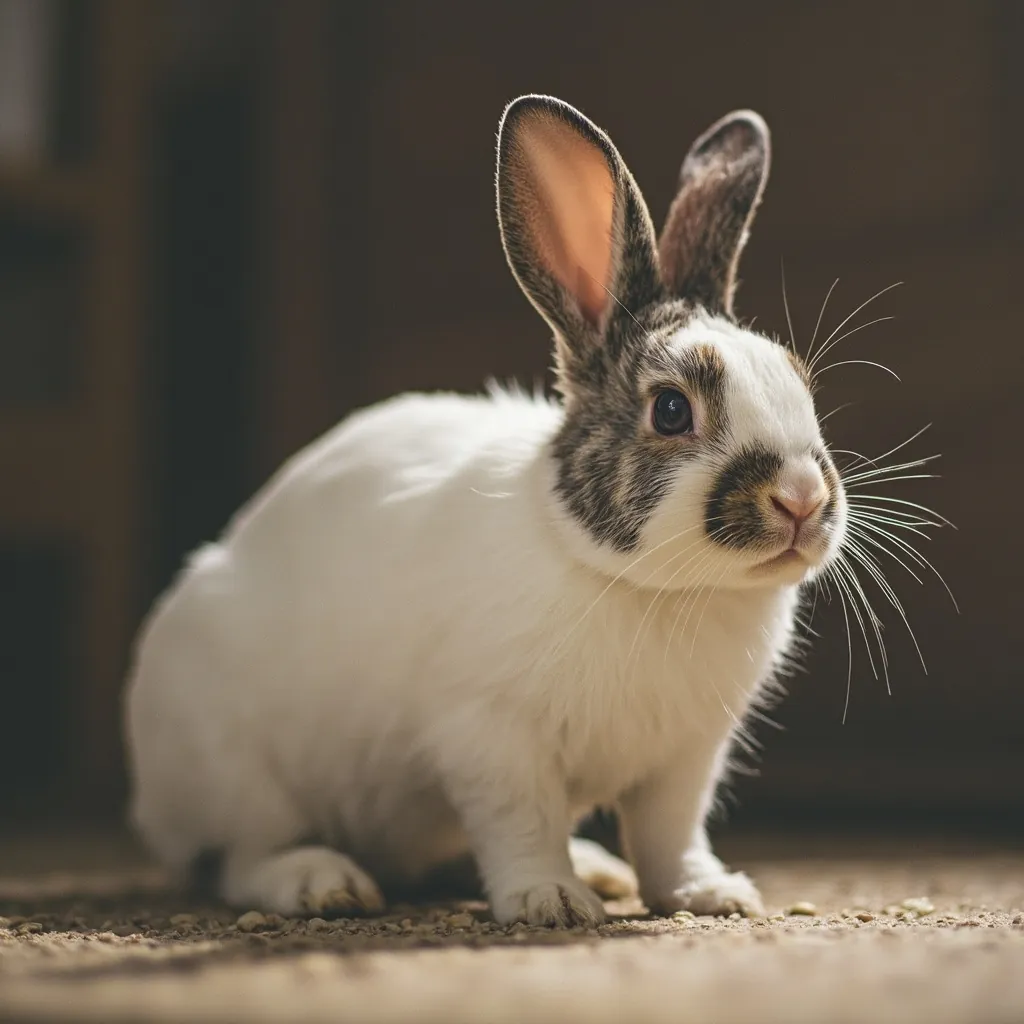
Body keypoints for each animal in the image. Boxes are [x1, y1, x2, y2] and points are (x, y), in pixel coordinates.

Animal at [123, 94, 848, 928]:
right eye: (671, 410)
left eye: (800, 383)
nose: (802, 498)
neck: (651, 588)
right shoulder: (493, 737)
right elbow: (521, 823)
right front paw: (550, 901)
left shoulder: (684, 759)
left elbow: (671, 836)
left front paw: (710, 895)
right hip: (239, 771)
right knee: (240, 859)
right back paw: (324, 883)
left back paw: (601, 869)